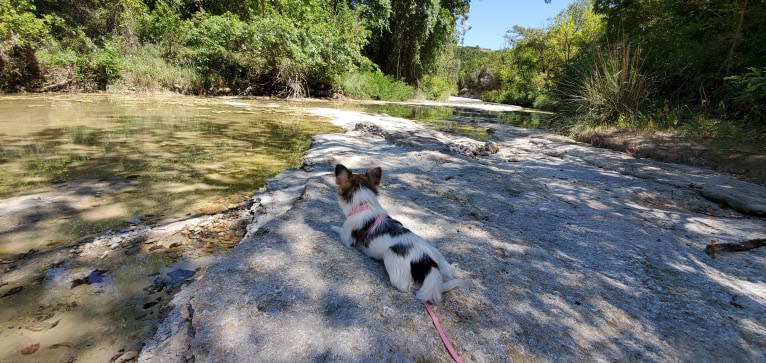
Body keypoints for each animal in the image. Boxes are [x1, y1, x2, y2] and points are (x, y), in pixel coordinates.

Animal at [332, 165, 468, 304]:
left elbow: (339, 229)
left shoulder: (347, 238)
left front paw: (332, 226)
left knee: (407, 287)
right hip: (438, 257)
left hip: (390, 255)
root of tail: (428, 262)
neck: (365, 204)